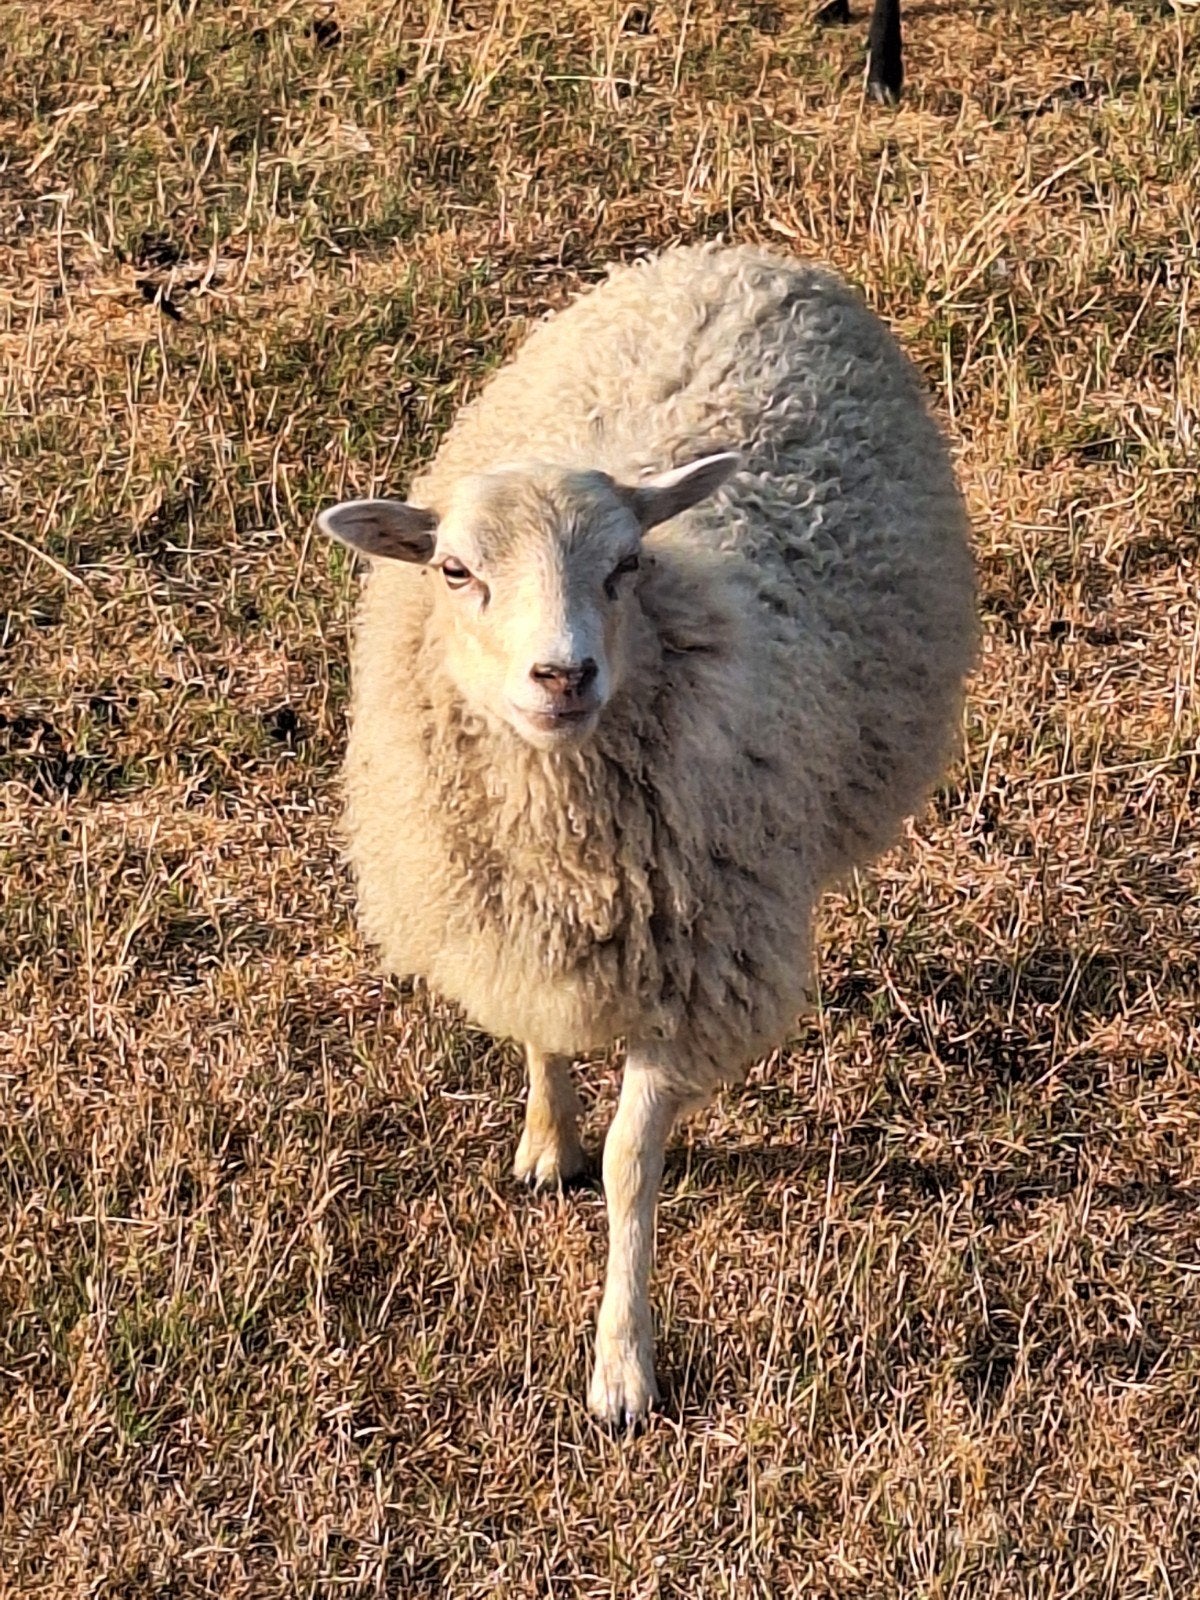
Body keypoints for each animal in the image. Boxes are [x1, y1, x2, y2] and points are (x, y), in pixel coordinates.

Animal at [316, 243, 975, 1427]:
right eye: (453, 570)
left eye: (626, 565)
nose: (562, 674)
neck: (565, 837)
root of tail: (741, 253)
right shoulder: (512, 922)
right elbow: (539, 1034)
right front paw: (548, 1140)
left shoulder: (694, 963)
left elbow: (633, 1164)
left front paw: (622, 1363)